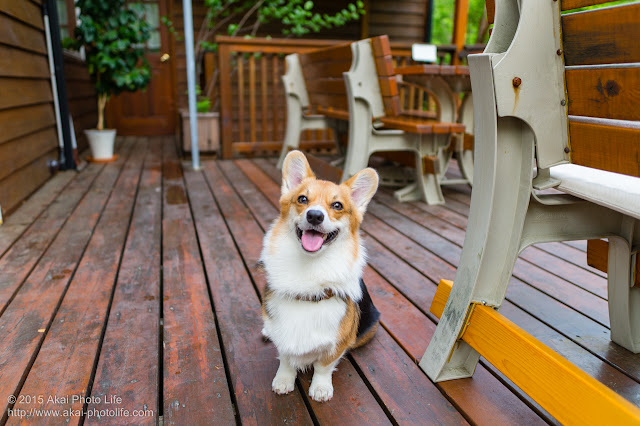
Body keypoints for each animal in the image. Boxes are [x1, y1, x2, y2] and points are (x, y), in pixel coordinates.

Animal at [260, 151, 380, 402]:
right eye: (302, 199)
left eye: (337, 205)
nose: (315, 216)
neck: (309, 269)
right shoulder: (282, 335)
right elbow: (286, 359)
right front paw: (284, 380)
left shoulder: (337, 343)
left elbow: (323, 366)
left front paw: (321, 388)